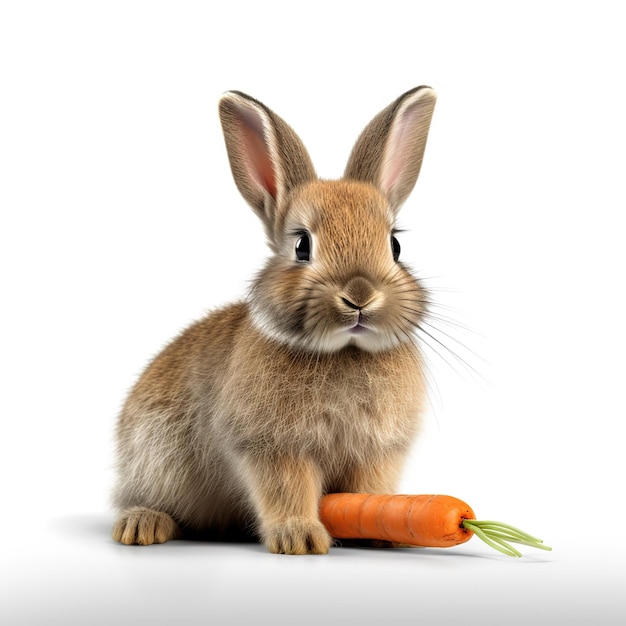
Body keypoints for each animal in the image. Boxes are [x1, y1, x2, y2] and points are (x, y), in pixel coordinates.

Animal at [112, 85, 434, 552]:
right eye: (302, 245)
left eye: (394, 245)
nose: (360, 296)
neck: (344, 352)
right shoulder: (271, 447)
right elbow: (287, 488)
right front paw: (299, 538)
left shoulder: (377, 452)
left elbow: (367, 491)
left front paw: (381, 537)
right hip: (153, 459)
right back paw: (142, 525)